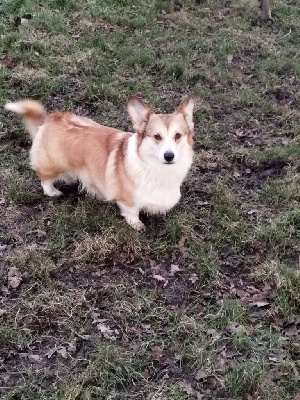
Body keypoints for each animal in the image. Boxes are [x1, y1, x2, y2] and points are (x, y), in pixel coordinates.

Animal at [4, 95, 195, 230]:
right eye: (157, 136)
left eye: (178, 136)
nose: (169, 156)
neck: (155, 168)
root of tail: (50, 118)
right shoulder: (128, 201)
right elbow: (132, 213)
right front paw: (137, 225)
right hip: (52, 164)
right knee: (45, 178)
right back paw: (53, 192)